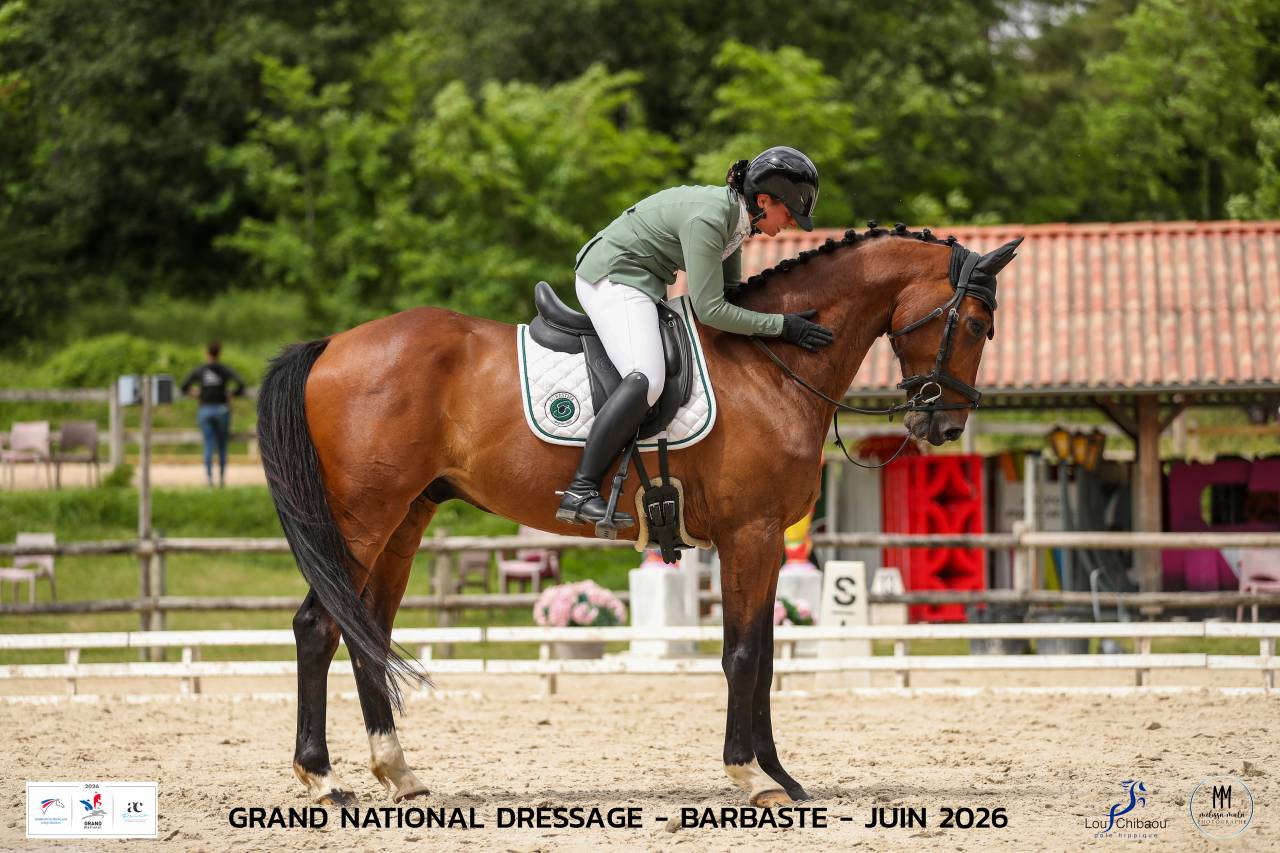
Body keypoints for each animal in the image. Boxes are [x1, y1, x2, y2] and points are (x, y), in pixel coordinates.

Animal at [256, 222, 1022, 807]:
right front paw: (751, 775)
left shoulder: (765, 538)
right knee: (318, 627)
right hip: (362, 521)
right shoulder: (749, 534)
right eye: (977, 324)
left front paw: (780, 775)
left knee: (367, 632)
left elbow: (766, 651)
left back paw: (398, 772)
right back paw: (321, 779)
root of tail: (331, 345)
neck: (770, 363)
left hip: (405, 521)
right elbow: (744, 653)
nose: (944, 425)